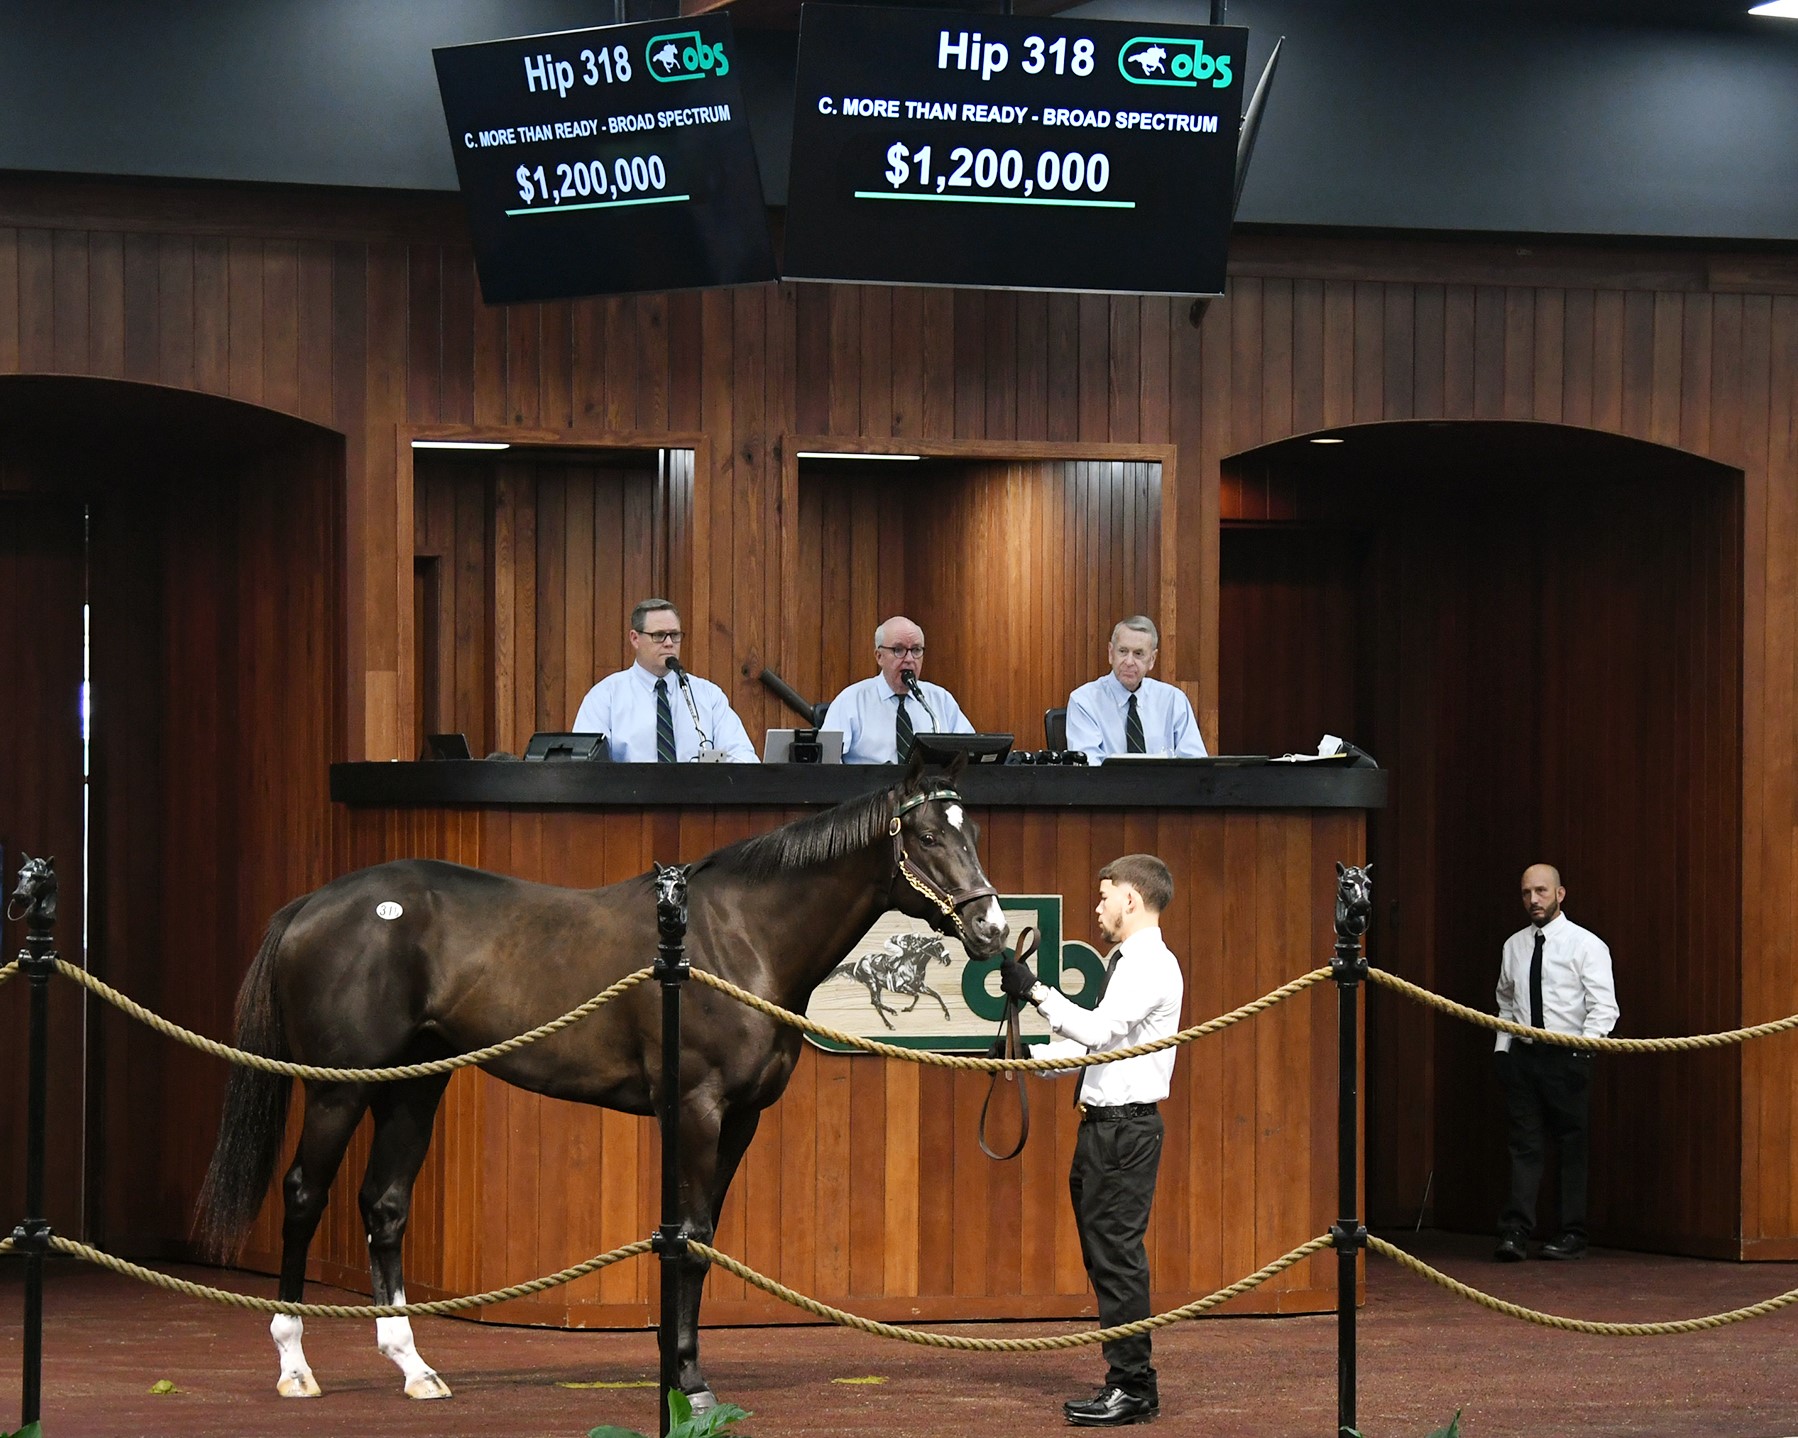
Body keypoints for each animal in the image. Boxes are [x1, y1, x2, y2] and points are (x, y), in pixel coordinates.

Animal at [202, 758, 1014, 1409]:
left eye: (973, 833)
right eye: (928, 837)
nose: (993, 932)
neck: (735, 938)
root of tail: (310, 906)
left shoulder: (740, 1118)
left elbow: (701, 1237)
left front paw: (678, 1371)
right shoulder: (695, 1108)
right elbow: (690, 1236)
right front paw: (688, 1382)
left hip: (413, 1085)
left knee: (386, 1205)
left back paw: (415, 1368)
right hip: (340, 1088)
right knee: (305, 1195)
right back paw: (295, 1364)